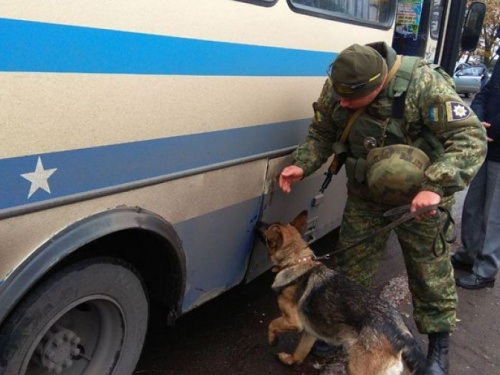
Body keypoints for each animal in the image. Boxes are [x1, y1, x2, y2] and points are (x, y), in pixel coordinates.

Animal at [258, 212, 426, 375]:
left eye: (267, 230)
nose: (258, 222)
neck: (297, 262)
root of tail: (403, 337)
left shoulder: (293, 321)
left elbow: (272, 323)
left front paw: (272, 340)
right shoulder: (310, 332)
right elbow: (300, 352)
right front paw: (290, 360)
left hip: (358, 368)